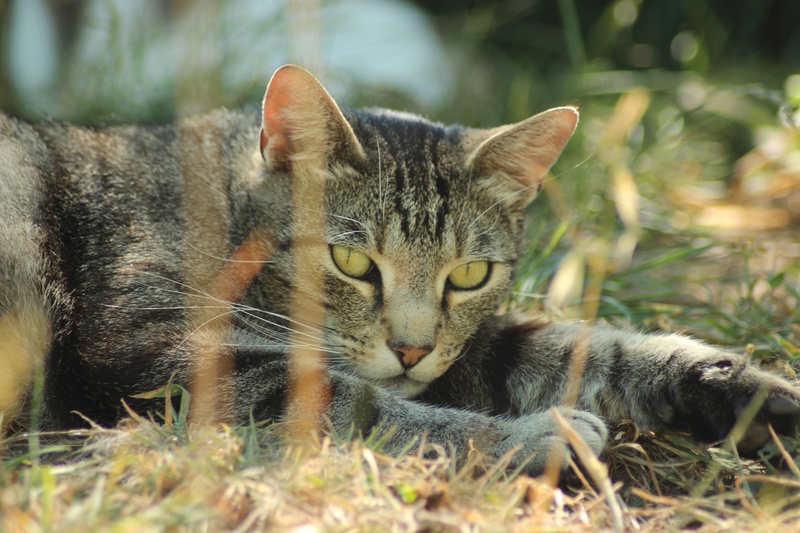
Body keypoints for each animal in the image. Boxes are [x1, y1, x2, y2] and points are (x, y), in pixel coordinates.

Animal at [1, 62, 800, 474]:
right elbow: (357, 406)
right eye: (352, 261)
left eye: (470, 274)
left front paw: (736, 387)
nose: (411, 350)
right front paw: (533, 438)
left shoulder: (467, 347)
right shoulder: (160, 350)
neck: (219, 209)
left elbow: (582, 346)